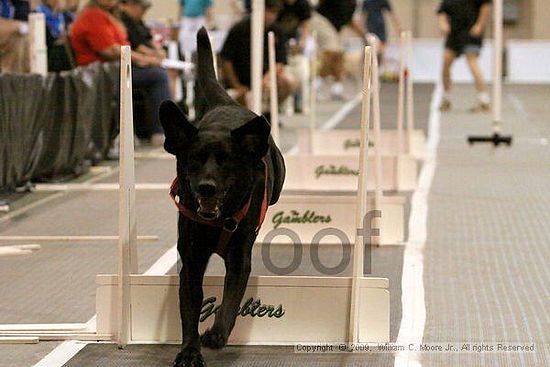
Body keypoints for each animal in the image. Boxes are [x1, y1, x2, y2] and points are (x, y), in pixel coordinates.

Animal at [158, 27, 284, 366]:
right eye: (195, 160)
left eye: (226, 162)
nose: (206, 187)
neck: (218, 223)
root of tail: (228, 103)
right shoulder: (191, 261)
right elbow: (190, 309)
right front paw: (189, 351)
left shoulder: (240, 258)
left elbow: (230, 300)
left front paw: (216, 334)